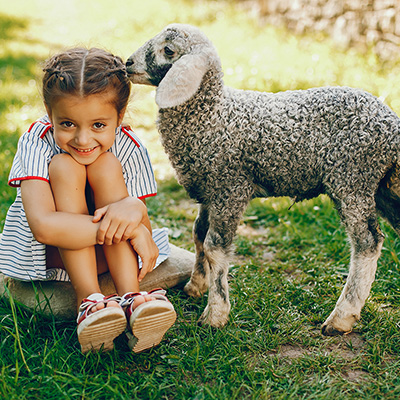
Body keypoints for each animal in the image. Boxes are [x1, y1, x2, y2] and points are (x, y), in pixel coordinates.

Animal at [126, 21, 400, 334]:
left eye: (168, 50)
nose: (127, 64)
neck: (213, 115)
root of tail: (392, 124)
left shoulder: (231, 187)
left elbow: (214, 247)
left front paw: (215, 313)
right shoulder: (210, 189)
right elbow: (198, 235)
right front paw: (196, 286)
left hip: (353, 179)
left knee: (367, 243)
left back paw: (342, 316)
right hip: (383, 187)